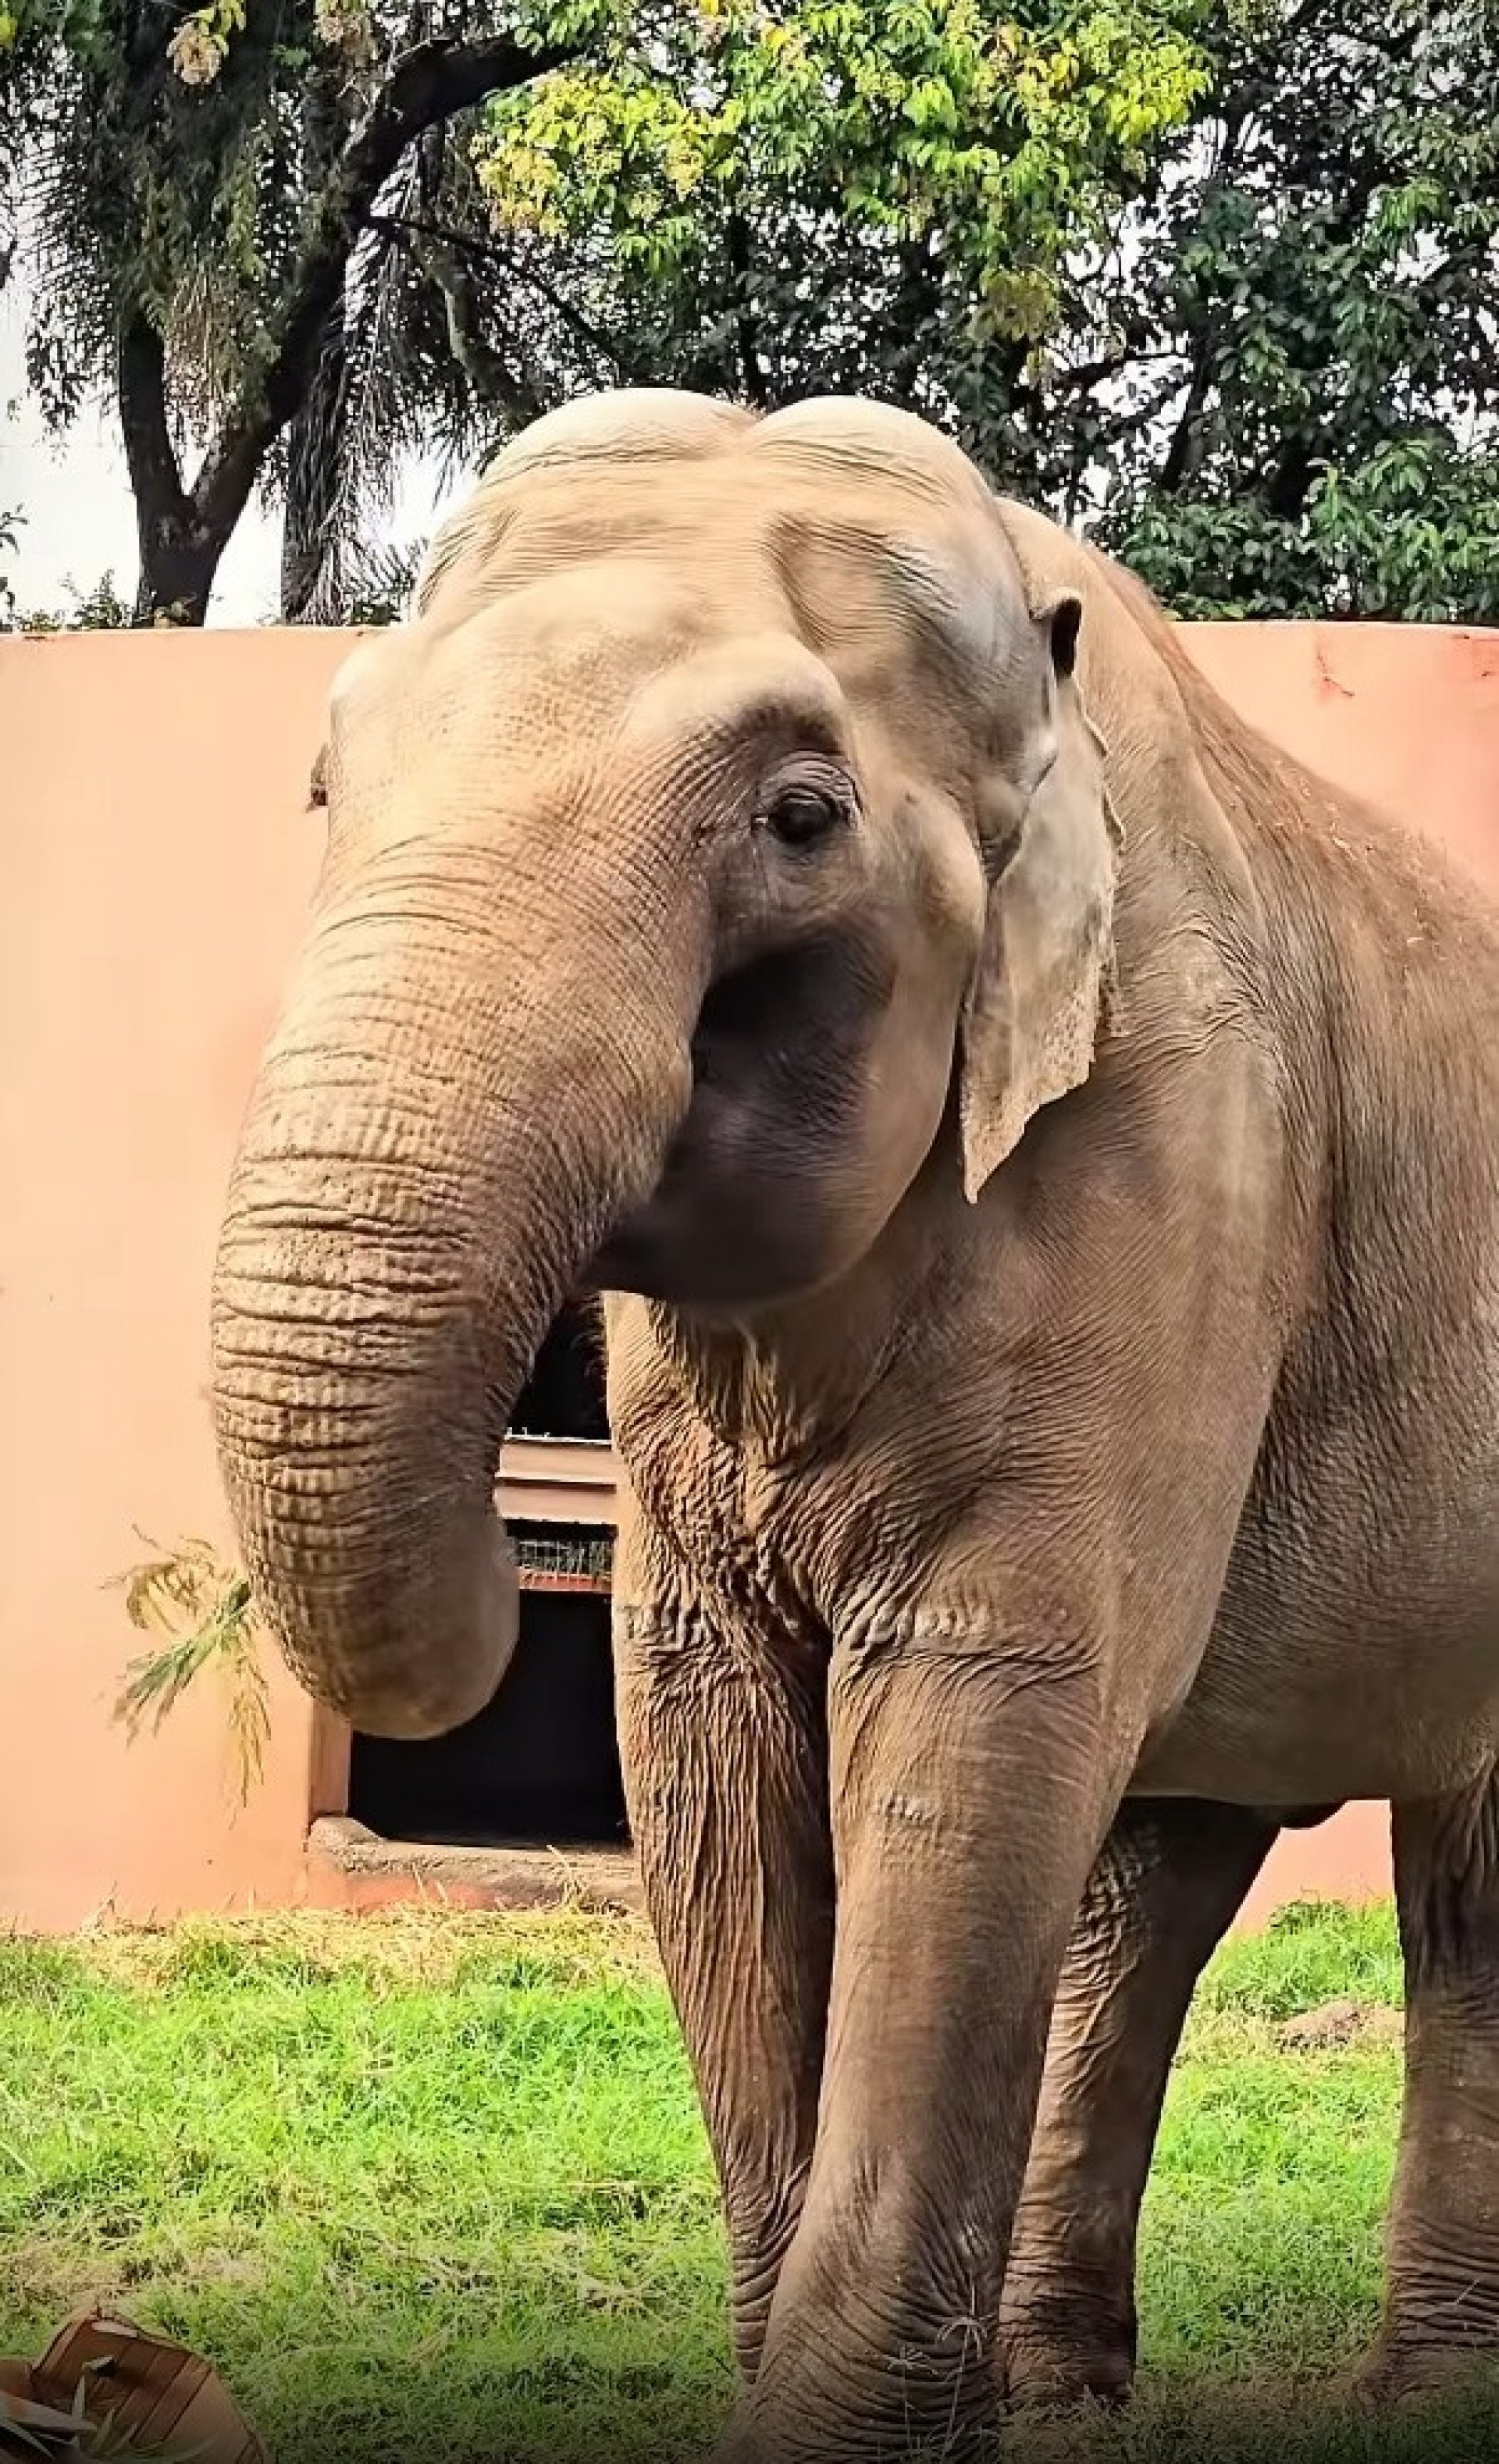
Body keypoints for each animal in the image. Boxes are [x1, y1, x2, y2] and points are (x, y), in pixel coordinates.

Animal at [210, 388, 1499, 2462]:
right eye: (326, 788)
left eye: (801, 818)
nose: (519, 1533)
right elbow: (703, 1737)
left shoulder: (1176, 1145)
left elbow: (974, 1717)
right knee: (1160, 1876)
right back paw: (1065, 2395)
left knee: (1456, 1886)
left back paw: (1422, 2395)